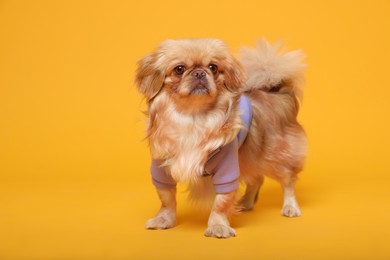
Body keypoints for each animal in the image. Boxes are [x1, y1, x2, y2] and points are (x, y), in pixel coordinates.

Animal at [136, 37, 306, 239]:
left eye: (213, 67)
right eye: (179, 69)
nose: (200, 72)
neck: (193, 118)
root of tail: (276, 91)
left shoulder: (227, 169)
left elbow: (221, 202)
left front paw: (218, 227)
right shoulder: (161, 168)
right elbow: (166, 198)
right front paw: (163, 220)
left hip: (275, 155)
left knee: (288, 180)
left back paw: (290, 207)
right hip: (249, 156)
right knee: (257, 179)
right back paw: (246, 203)